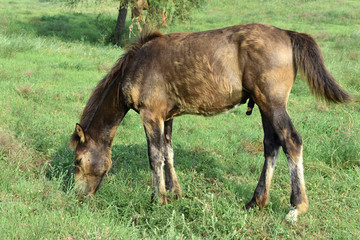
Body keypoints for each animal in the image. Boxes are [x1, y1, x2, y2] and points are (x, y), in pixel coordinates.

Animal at [69, 23, 348, 222]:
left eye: (78, 161)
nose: (78, 196)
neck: (136, 65)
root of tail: (288, 34)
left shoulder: (151, 115)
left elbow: (155, 156)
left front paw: (157, 199)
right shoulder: (166, 117)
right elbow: (168, 152)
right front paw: (174, 193)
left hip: (273, 103)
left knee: (291, 141)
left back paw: (296, 208)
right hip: (264, 105)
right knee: (271, 145)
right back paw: (256, 202)